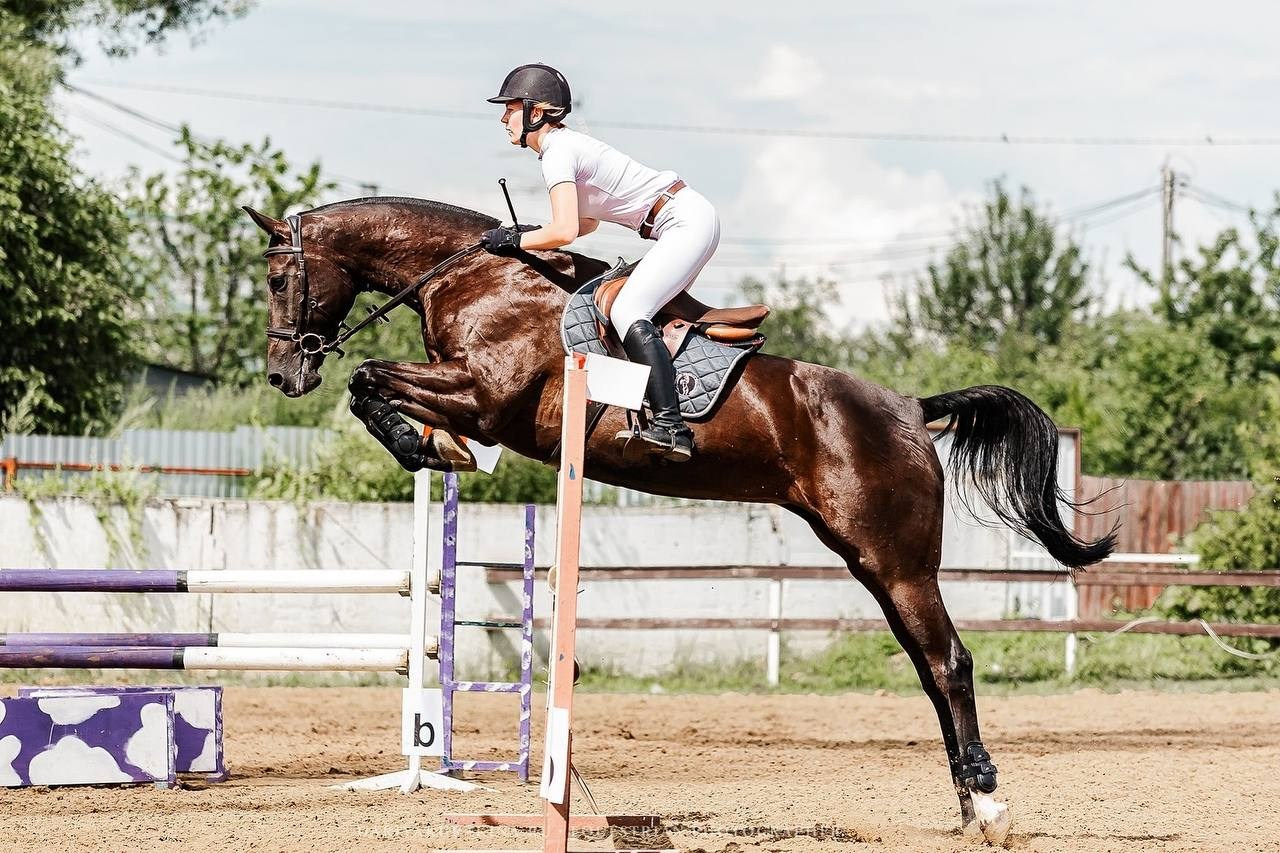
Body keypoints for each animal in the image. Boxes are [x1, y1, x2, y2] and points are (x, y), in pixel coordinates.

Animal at [246, 196, 1115, 843]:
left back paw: (991, 804)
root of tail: (909, 406)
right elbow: (371, 385)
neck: (479, 276)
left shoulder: (484, 396)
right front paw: (429, 446)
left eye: (280, 278)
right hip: (868, 560)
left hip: (898, 559)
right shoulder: (465, 392)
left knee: (950, 662)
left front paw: (423, 445)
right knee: (929, 667)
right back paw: (966, 804)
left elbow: (368, 376)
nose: (285, 374)